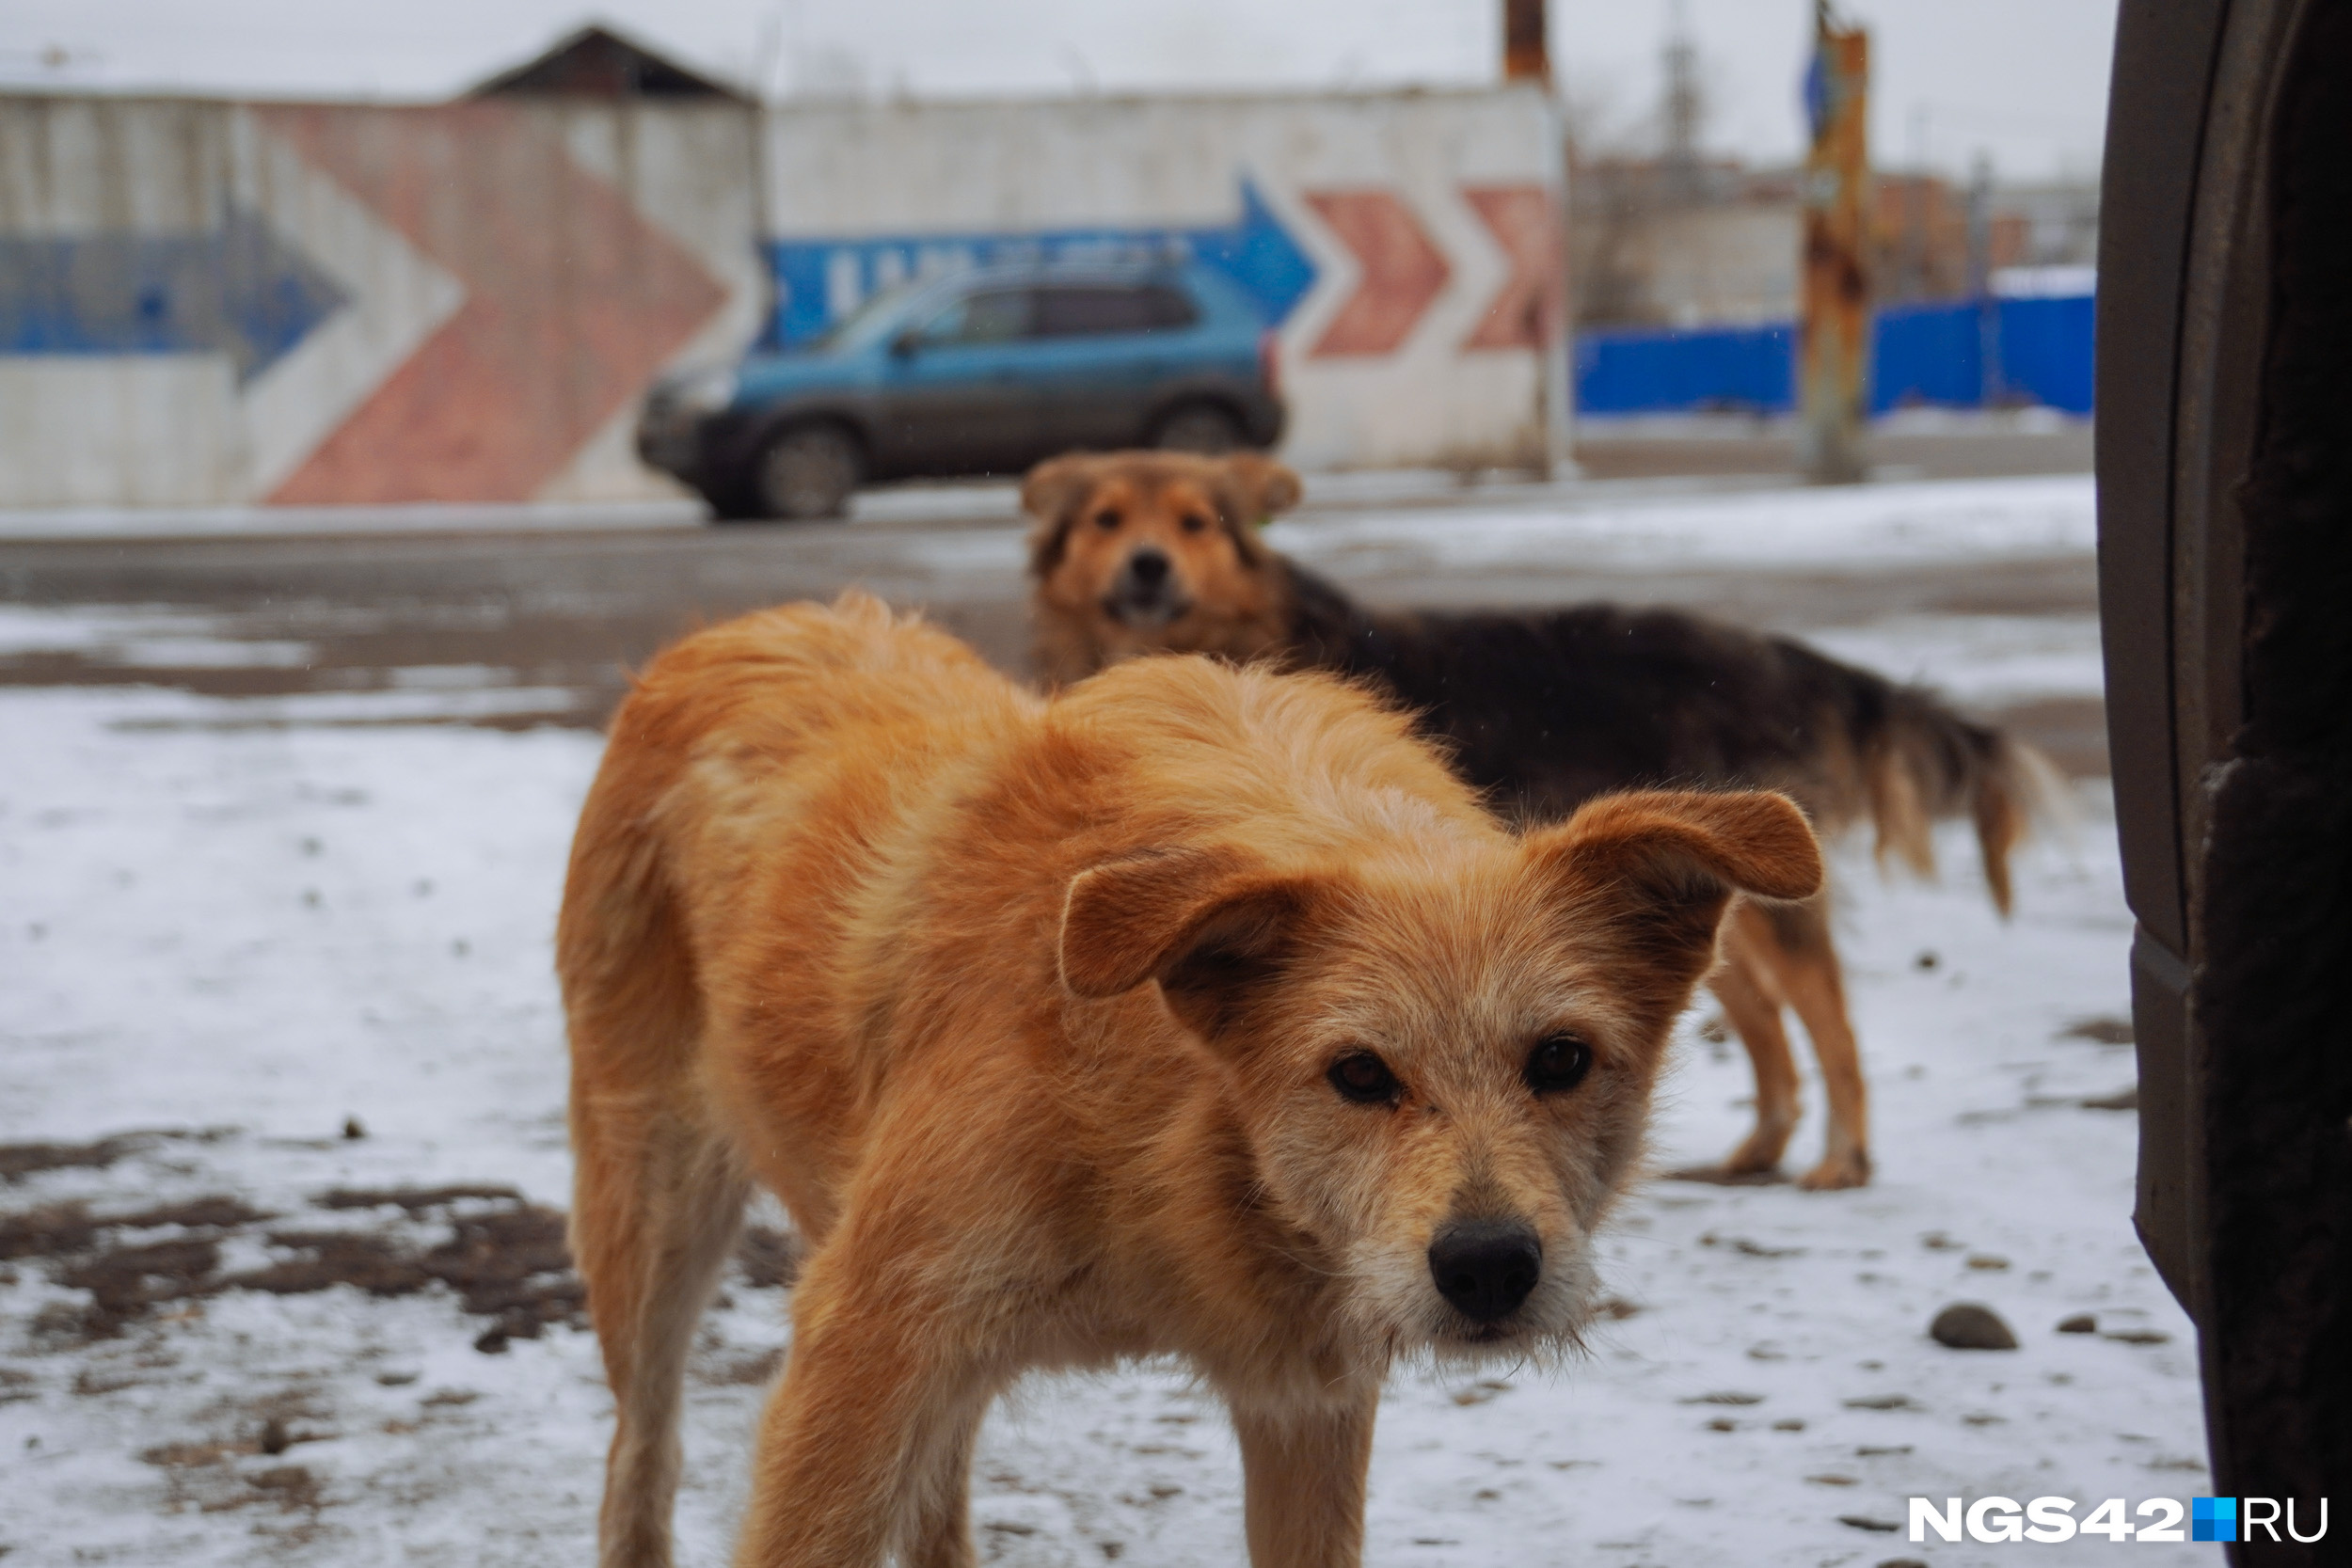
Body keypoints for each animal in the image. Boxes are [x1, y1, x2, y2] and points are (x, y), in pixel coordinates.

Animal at [555, 592, 1816, 1568]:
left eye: (1559, 1058)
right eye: (1357, 1073)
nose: (1488, 1267)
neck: (1177, 1126)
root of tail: (729, 630)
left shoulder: (1305, 1403)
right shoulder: (867, 1343)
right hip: (656, 1230)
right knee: (639, 1457)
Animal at [1021, 451, 2051, 1189]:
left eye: (1195, 521)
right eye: (1106, 519)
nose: (1147, 565)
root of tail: (1780, 652)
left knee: (1827, 1014)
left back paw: (1843, 1158)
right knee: (1761, 1016)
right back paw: (1755, 1149)